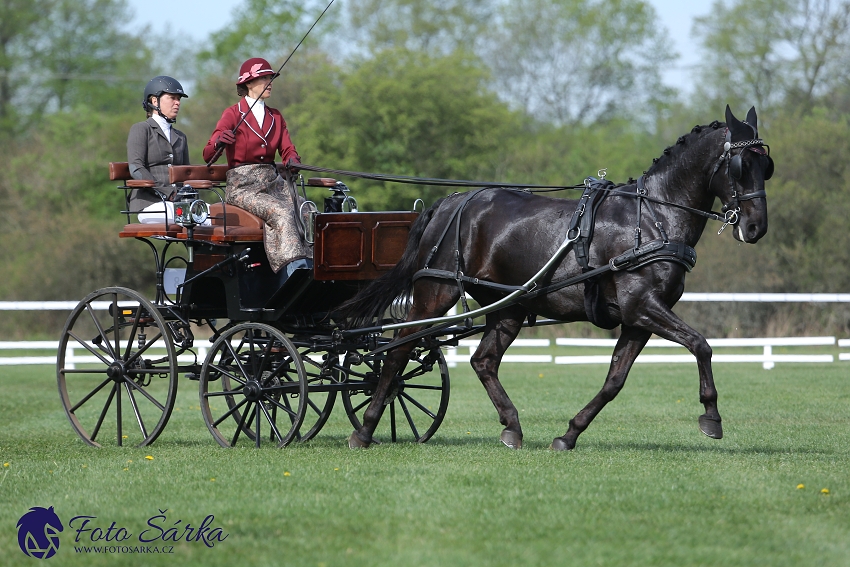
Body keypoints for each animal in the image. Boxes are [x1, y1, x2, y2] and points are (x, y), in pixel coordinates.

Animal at [342, 106, 772, 452]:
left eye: (765, 166)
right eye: (740, 165)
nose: (756, 228)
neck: (652, 219)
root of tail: (449, 202)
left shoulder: (638, 319)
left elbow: (615, 380)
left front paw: (569, 434)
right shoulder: (643, 307)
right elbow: (701, 345)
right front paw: (711, 416)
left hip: (509, 307)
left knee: (483, 361)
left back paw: (512, 427)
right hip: (437, 291)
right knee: (398, 350)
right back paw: (364, 430)